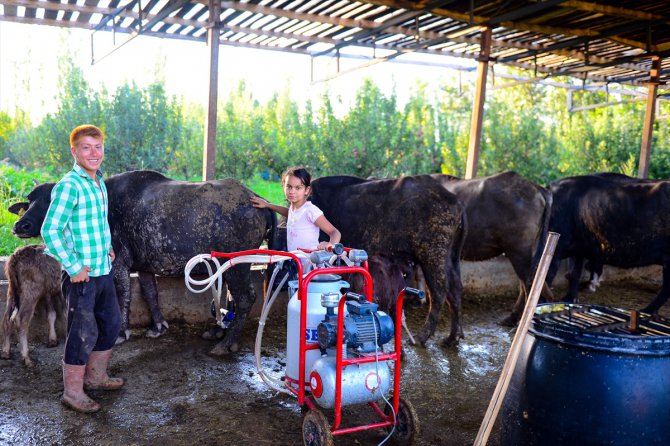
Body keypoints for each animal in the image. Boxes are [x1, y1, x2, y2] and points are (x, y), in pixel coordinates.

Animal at [8, 171, 276, 356]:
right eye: (29, 201)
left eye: (50, 202)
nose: (21, 225)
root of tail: (255, 199)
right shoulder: (145, 266)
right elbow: (150, 293)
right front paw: (158, 327)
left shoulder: (119, 264)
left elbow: (123, 295)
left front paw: (120, 332)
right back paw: (219, 333)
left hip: (238, 265)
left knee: (245, 298)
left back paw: (226, 343)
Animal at [310, 176, 468, 346]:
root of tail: (454, 201)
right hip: (449, 257)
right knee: (455, 289)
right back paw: (453, 336)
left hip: (432, 255)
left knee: (439, 291)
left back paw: (422, 336)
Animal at [544, 172, 670, 312]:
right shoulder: (578, 249)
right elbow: (574, 273)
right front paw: (570, 298)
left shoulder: (556, 249)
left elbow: (547, 276)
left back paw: (647, 310)